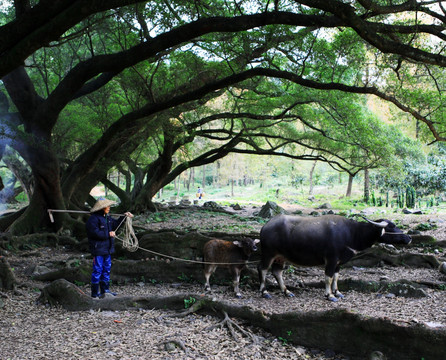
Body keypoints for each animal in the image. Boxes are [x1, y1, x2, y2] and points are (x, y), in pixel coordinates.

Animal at [258, 214, 412, 300]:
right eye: (391, 227)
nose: (409, 238)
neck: (352, 233)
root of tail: (265, 227)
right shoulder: (331, 260)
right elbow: (328, 277)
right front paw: (329, 295)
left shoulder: (339, 262)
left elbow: (336, 277)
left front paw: (337, 292)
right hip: (268, 253)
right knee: (263, 269)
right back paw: (264, 292)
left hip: (280, 257)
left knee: (277, 272)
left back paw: (287, 292)